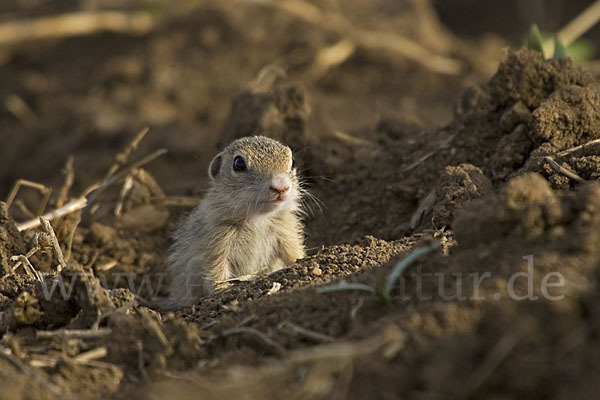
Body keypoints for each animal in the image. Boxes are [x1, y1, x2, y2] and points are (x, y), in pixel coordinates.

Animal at [164, 136, 304, 308]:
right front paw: (222, 290)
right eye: (238, 164)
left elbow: (294, 254)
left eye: (293, 161)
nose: (281, 187)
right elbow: (217, 271)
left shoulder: (286, 232)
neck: (257, 219)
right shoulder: (217, 245)